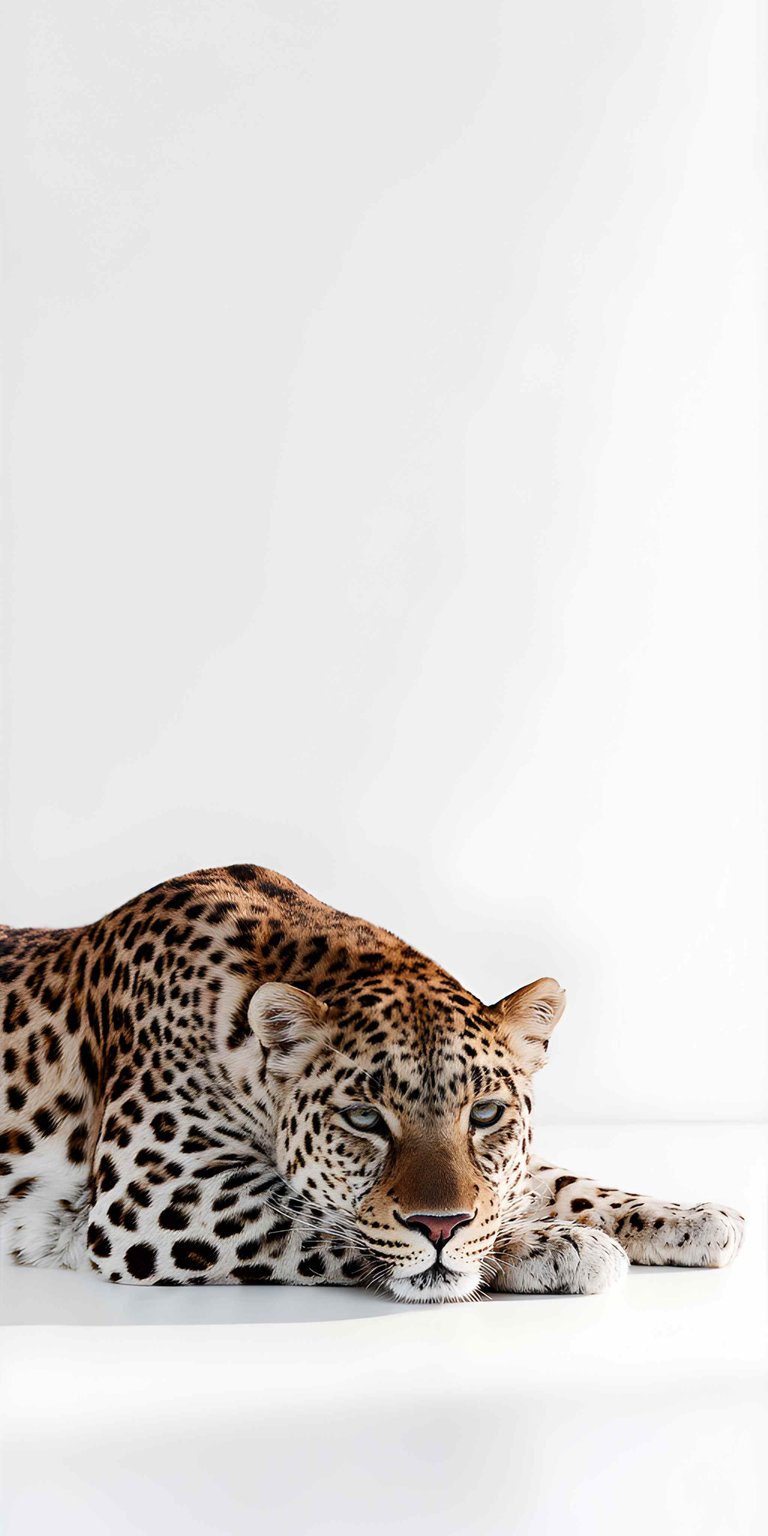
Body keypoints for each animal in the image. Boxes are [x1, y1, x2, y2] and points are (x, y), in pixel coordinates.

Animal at [0, 865, 744, 1301]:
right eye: (363, 1119)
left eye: (485, 1114)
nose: (440, 1224)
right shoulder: (155, 1194)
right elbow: (329, 1216)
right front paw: (559, 1244)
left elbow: (559, 1180)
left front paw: (694, 1218)